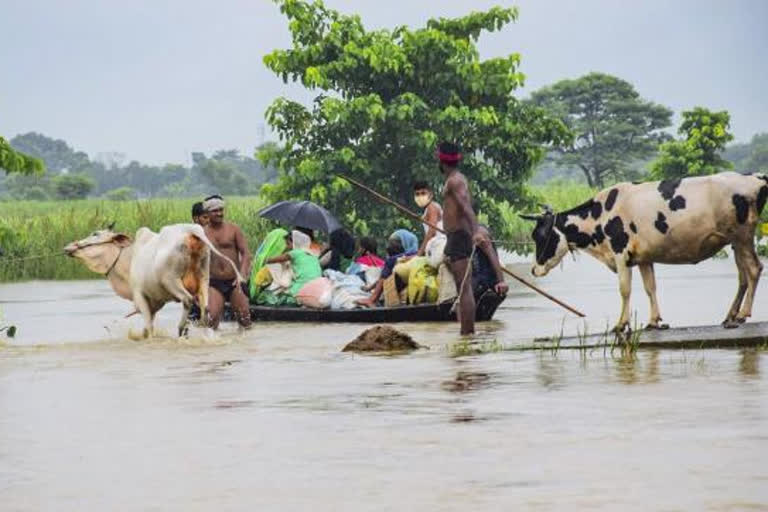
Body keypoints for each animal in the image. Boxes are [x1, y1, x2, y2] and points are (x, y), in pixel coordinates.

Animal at [65, 223, 242, 336]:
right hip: (204, 280)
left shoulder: (139, 296)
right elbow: (147, 328)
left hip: (171, 281)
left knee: (188, 300)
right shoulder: (156, 303)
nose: (69, 247)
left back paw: (181, 328)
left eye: (95, 234)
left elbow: (148, 329)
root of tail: (191, 231)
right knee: (206, 311)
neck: (130, 258)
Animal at [520, 172, 768, 332]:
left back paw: (743, 314)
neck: (600, 214)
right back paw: (730, 316)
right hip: (735, 242)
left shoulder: (620, 253)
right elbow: (650, 287)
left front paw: (621, 324)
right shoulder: (643, 258)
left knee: (754, 269)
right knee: (743, 276)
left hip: (743, 237)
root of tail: (755, 177)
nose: (533, 269)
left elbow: (625, 289)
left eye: (539, 235)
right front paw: (653, 321)